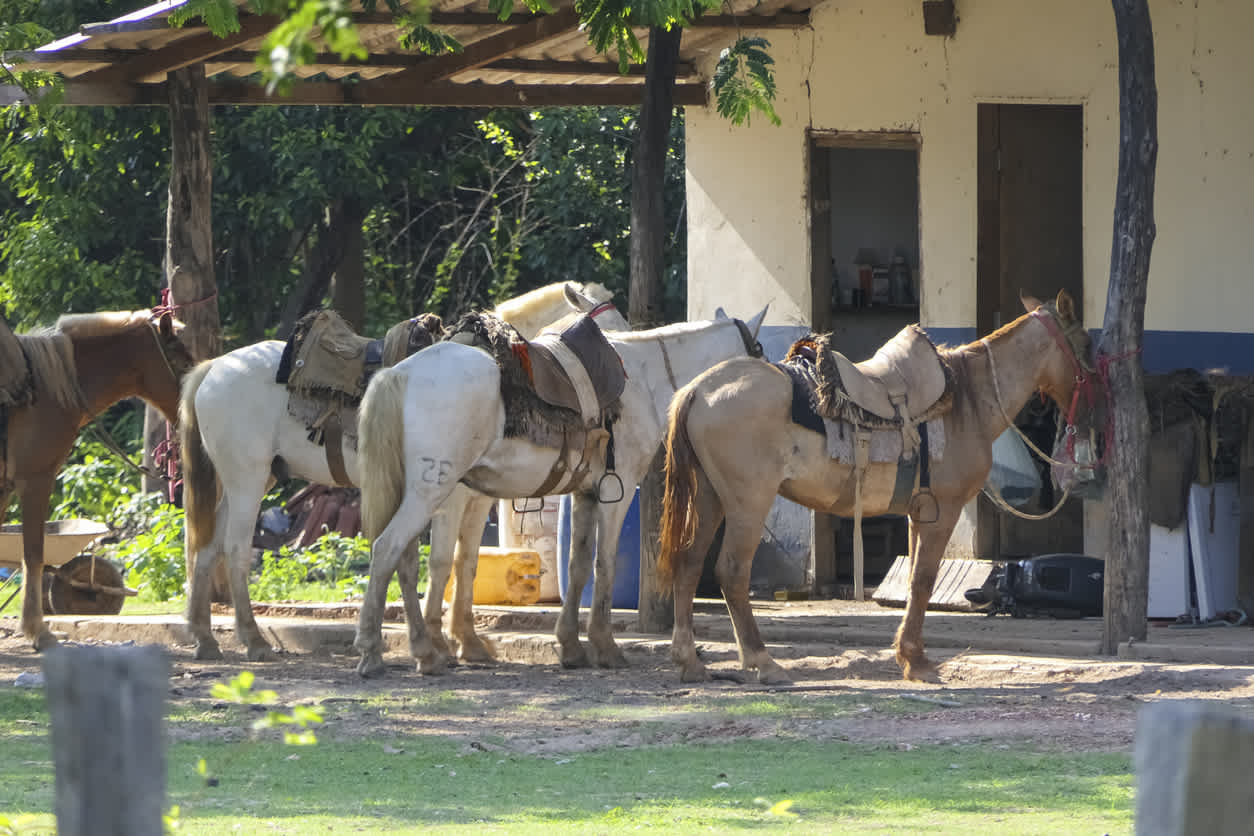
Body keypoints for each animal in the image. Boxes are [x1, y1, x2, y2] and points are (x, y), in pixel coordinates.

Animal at [179, 280, 624, 661]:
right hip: (248, 479)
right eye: (613, 329)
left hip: (253, 478)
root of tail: (213, 367)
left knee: (208, 548)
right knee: (236, 549)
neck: (500, 379)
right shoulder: (451, 496)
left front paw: (465, 642)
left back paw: (205, 640)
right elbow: (442, 561)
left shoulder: (476, 499)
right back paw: (253, 641)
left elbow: (466, 562)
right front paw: (441, 643)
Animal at [348, 307, 767, 681]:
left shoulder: (585, 494)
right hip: (431, 490)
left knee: (405, 561)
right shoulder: (617, 491)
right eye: (758, 352)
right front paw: (605, 647)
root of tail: (399, 373)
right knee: (386, 550)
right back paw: (374, 651)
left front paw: (571, 648)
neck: (644, 377)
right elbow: (604, 565)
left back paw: (425, 651)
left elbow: (577, 565)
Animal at [662, 290, 1093, 681]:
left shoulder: (920, 512)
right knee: (733, 571)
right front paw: (916, 662)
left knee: (689, 563)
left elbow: (916, 581)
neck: (967, 399)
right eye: (1087, 347)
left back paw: (690, 661)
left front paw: (911, 656)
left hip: (710, 499)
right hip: (748, 503)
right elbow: (923, 580)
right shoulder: (944, 510)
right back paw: (762, 662)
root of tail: (698, 390)